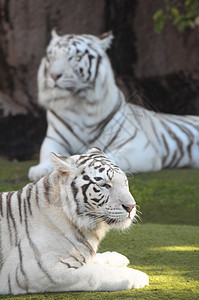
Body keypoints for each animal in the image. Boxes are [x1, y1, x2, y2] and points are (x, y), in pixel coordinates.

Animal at [0, 148, 148, 296]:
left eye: (125, 182)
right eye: (105, 185)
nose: (131, 206)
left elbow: (93, 258)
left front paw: (117, 257)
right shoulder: (41, 271)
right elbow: (97, 273)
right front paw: (139, 275)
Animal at [28, 30, 199, 182]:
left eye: (75, 57)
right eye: (51, 56)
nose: (54, 76)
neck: (79, 104)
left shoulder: (140, 146)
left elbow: (108, 157)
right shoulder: (54, 139)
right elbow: (48, 154)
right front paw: (39, 170)